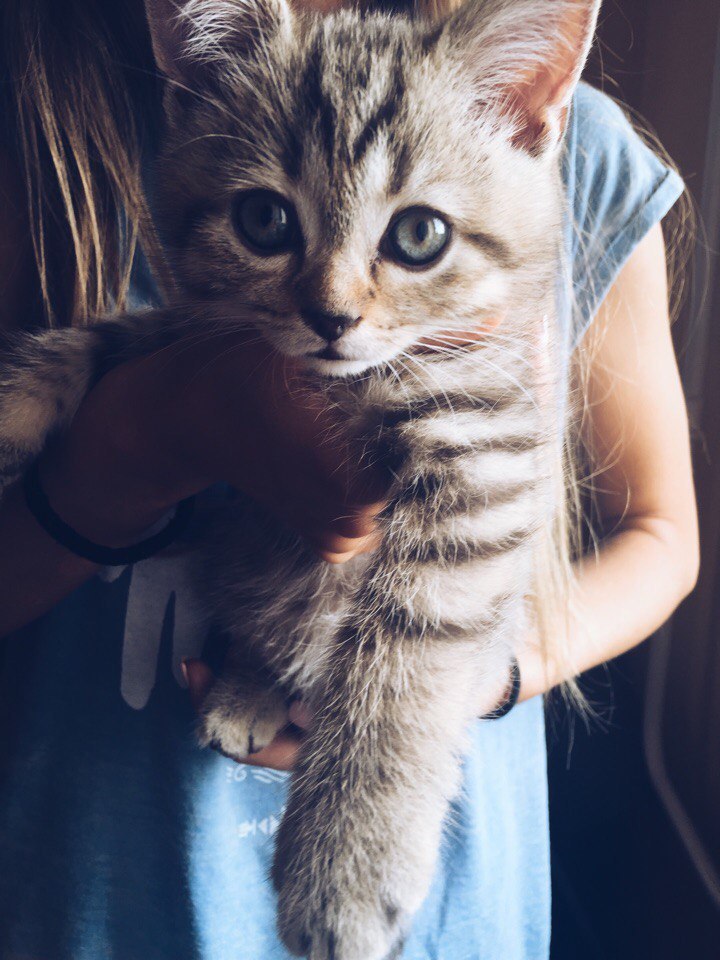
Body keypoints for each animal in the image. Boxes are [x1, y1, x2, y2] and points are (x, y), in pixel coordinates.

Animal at [0, 0, 600, 956]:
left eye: (420, 236)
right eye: (264, 221)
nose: (330, 316)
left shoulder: (484, 454)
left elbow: (404, 660)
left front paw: (347, 867)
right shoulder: (198, 341)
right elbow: (118, 338)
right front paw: (19, 400)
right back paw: (249, 681)